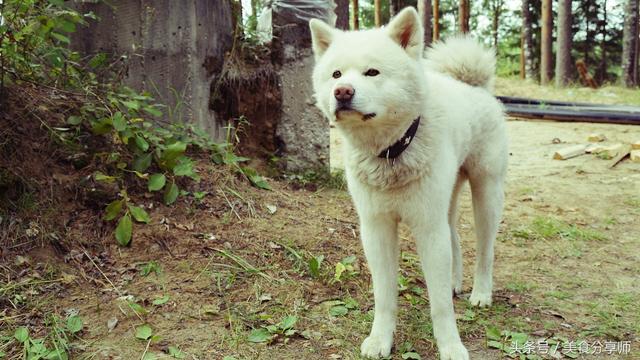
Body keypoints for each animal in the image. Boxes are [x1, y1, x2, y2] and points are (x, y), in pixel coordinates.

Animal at [308, 5, 508, 360]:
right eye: (336, 74)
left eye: (372, 72)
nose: (342, 91)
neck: (392, 152)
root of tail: (473, 85)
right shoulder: (377, 228)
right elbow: (384, 295)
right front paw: (380, 340)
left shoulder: (428, 227)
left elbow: (439, 305)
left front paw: (450, 346)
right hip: (446, 202)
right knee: (455, 239)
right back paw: (456, 282)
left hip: (486, 194)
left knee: (486, 249)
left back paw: (481, 292)